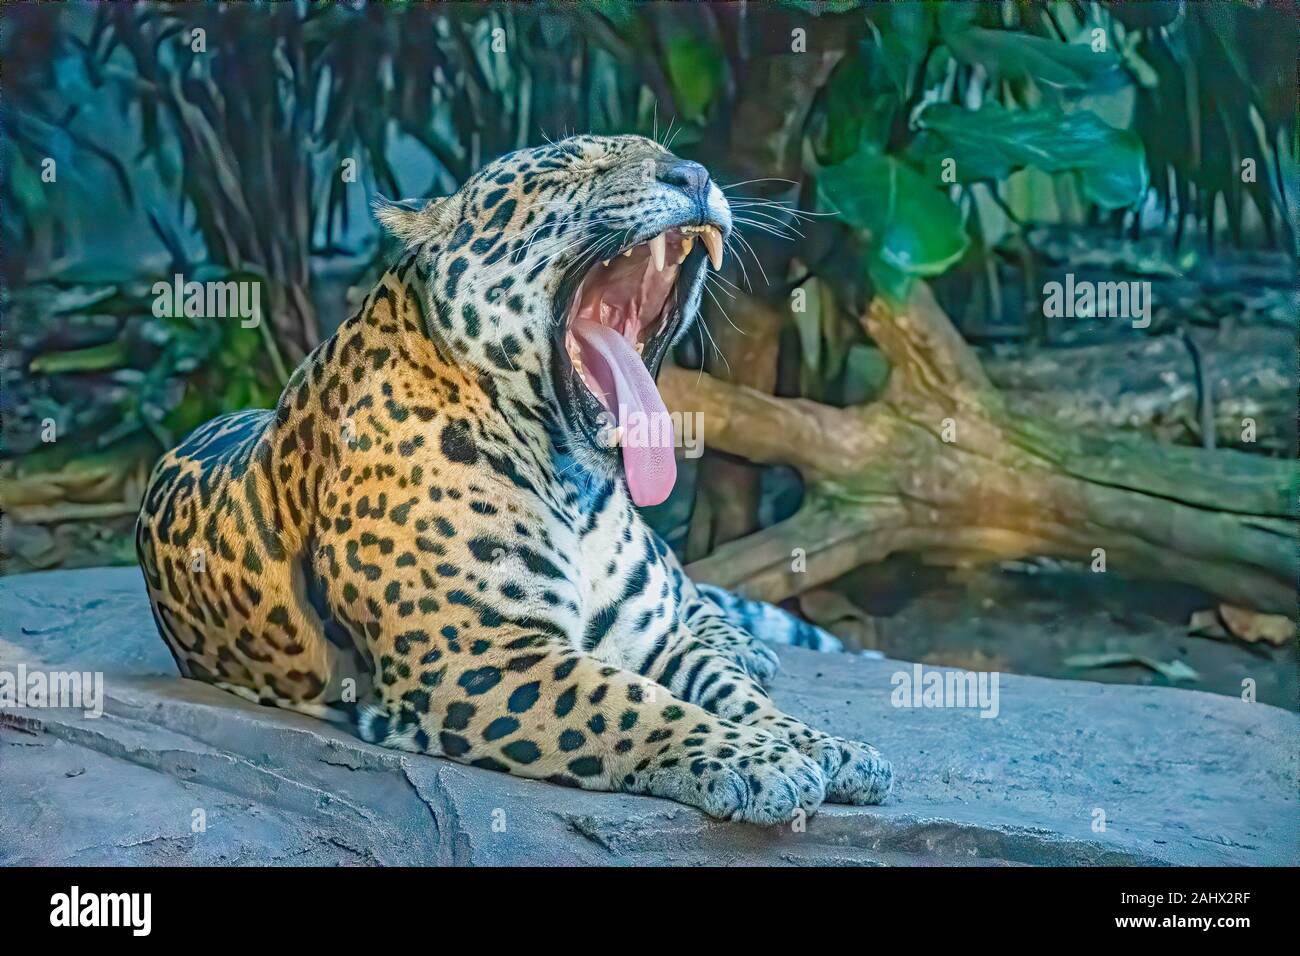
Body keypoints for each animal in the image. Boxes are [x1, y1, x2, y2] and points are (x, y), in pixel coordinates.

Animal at [135, 134, 892, 824]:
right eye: (569, 168)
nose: (697, 174)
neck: (578, 485)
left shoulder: (652, 640)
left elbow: (729, 691)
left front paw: (823, 747)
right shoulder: (479, 654)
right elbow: (632, 704)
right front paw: (760, 763)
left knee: (699, 605)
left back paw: (745, 645)